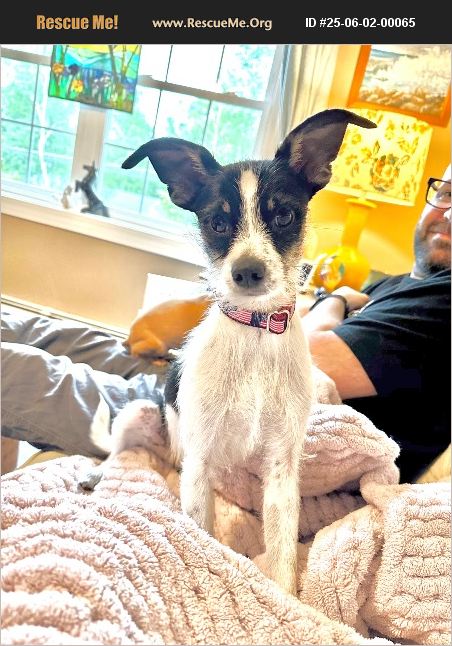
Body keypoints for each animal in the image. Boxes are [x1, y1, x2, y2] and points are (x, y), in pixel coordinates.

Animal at [79, 109, 376, 596]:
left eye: (284, 215)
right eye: (217, 224)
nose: (247, 271)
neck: (255, 333)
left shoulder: (281, 469)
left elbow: (281, 553)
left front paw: (286, 598)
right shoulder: (200, 459)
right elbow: (201, 533)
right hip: (141, 414)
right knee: (119, 455)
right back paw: (98, 474)